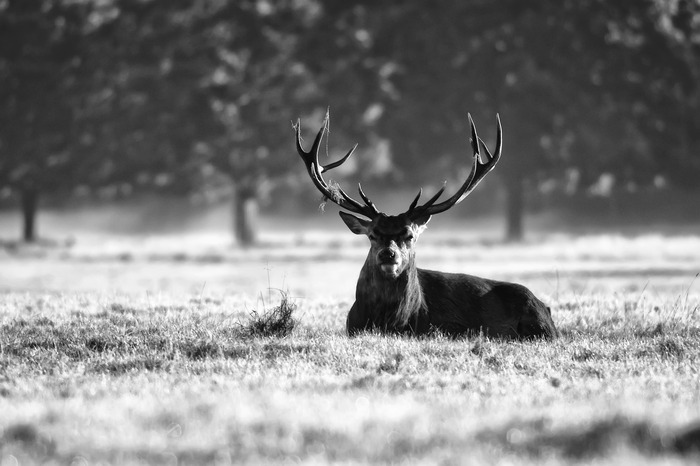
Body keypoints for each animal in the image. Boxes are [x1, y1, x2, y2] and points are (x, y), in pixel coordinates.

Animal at [294, 112, 558, 339]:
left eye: (409, 235)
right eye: (372, 234)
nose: (388, 254)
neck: (394, 321)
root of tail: (545, 308)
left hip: (537, 324)